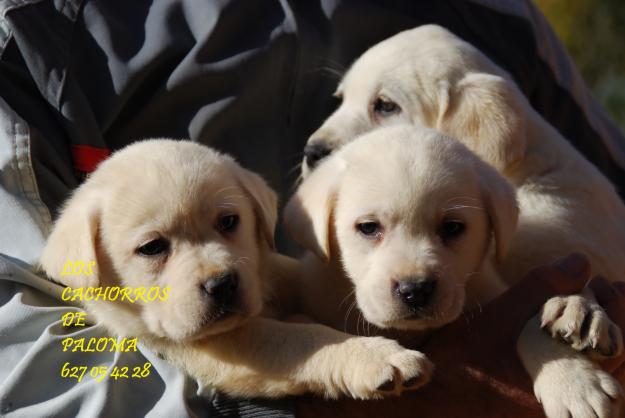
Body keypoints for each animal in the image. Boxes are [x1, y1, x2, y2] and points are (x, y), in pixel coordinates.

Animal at [37, 140, 428, 398]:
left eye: (228, 222)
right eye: (152, 248)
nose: (222, 285)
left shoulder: (265, 272)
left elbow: (295, 280)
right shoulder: (216, 345)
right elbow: (300, 338)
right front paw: (377, 356)